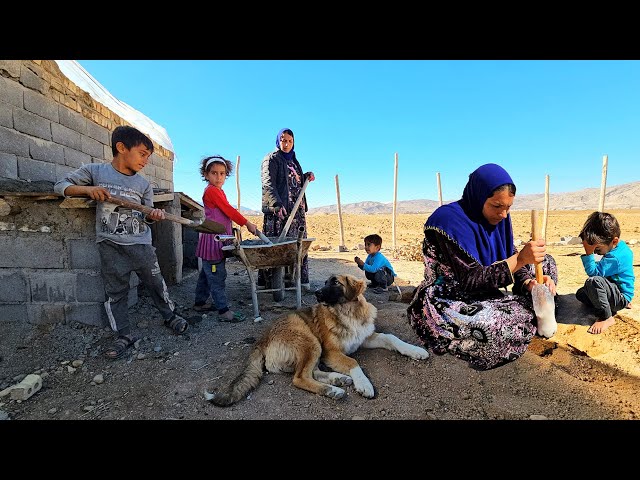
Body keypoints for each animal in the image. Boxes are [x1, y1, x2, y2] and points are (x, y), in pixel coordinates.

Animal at [202, 274, 428, 404]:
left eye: (335, 282)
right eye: (326, 282)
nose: (317, 293)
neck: (348, 311)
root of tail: (262, 340)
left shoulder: (366, 338)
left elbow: (392, 337)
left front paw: (415, 351)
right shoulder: (332, 352)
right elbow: (353, 362)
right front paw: (364, 384)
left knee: (311, 371)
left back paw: (338, 380)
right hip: (310, 341)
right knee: (300, 377)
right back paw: (333, 389)